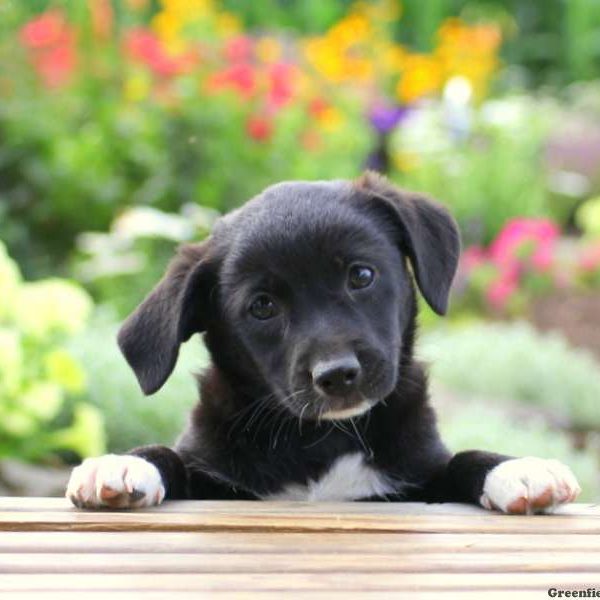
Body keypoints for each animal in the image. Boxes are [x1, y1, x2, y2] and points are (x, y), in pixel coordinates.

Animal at [67, 173, 580, 516]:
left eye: (361, 275)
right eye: (262, 307)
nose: (337, 375)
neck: (322, 439)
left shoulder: (417, 476)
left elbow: (462, 460)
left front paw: (518, 469)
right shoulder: (214, 475)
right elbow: (169, 455)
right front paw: (121, 464)